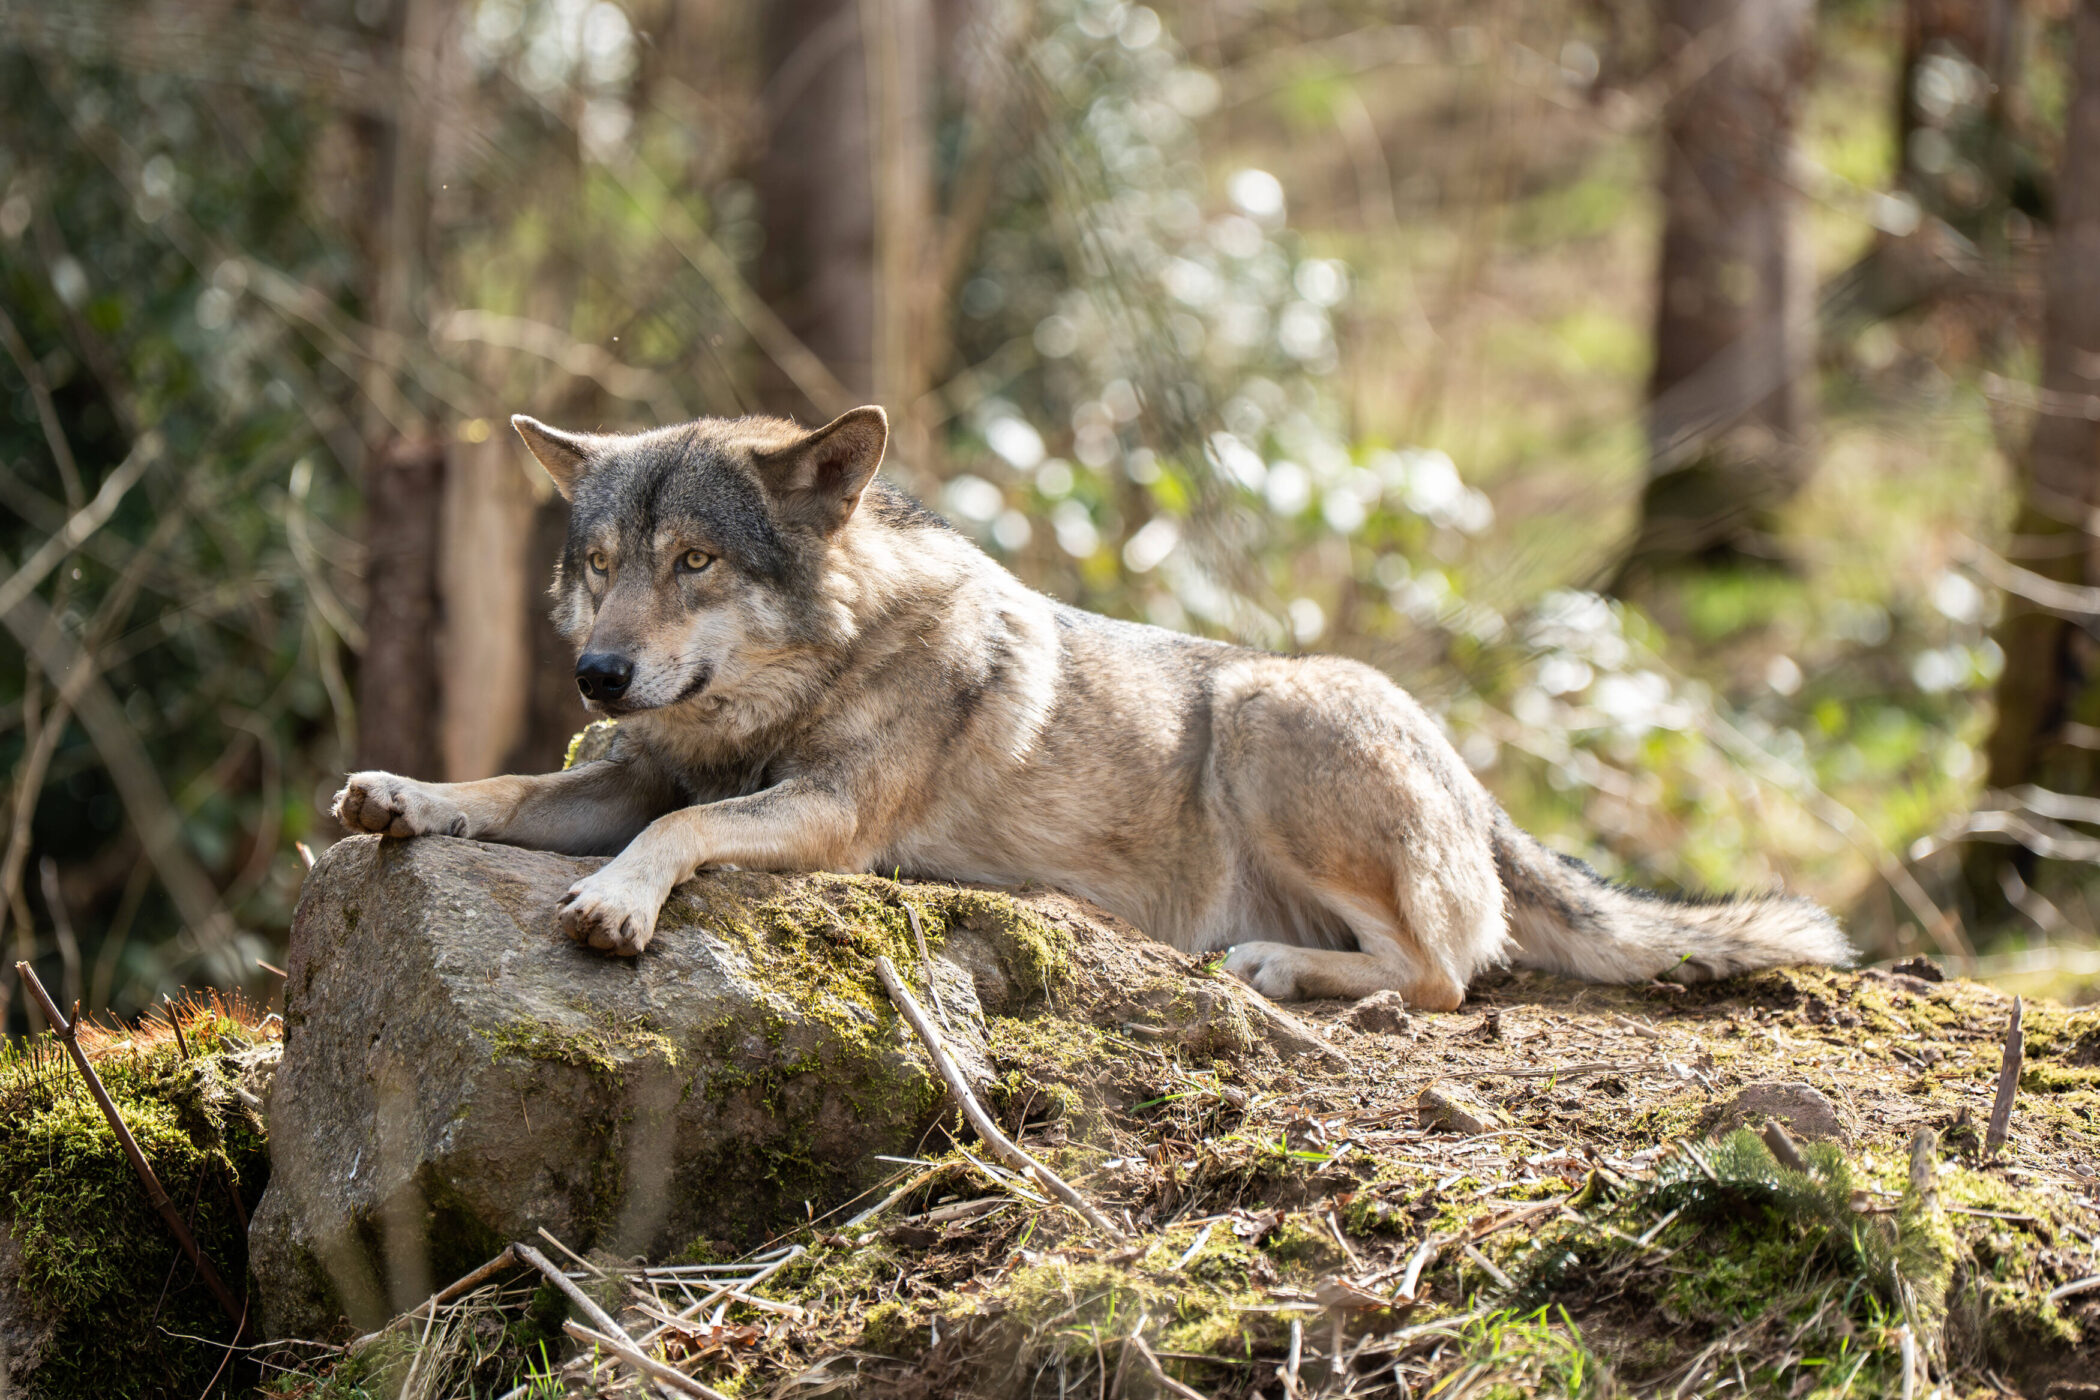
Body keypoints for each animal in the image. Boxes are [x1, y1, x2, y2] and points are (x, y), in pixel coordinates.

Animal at [332, 406, 1850, 1008]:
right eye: (600, 566)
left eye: (694, 562)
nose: (598, 675)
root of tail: (1475, 782)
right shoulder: (628, 770)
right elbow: (511, 791)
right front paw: (400, 794)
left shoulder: (825, 817)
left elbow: (679, 839)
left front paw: (617, 905)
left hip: (1264, 715)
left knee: (1447, 973)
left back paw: (1275, 968)